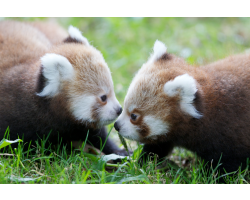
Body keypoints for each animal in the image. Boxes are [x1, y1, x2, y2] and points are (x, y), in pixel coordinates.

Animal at [115, 39, 250, 173]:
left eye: (134, 116)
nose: (116, 126)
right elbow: (157, 148)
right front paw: (141, 163)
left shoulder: (230, 133)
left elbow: (228, 165)